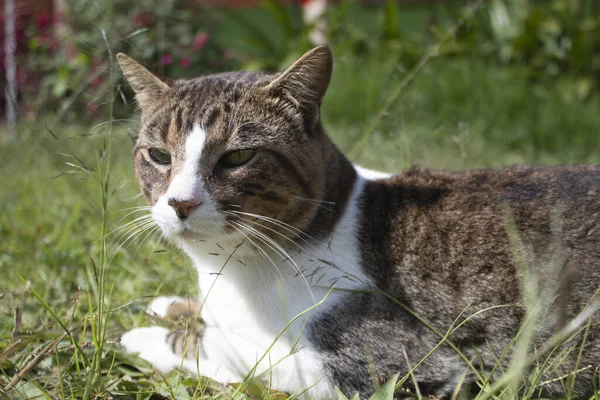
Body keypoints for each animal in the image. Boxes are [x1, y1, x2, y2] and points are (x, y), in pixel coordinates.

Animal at [116, 46, 600, 396]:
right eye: (159, 156)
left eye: (238, 158)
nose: (180, 203)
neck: (230, 272)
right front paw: (170, 304)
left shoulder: (395, 369)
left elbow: (230, 349)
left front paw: (144, 335)